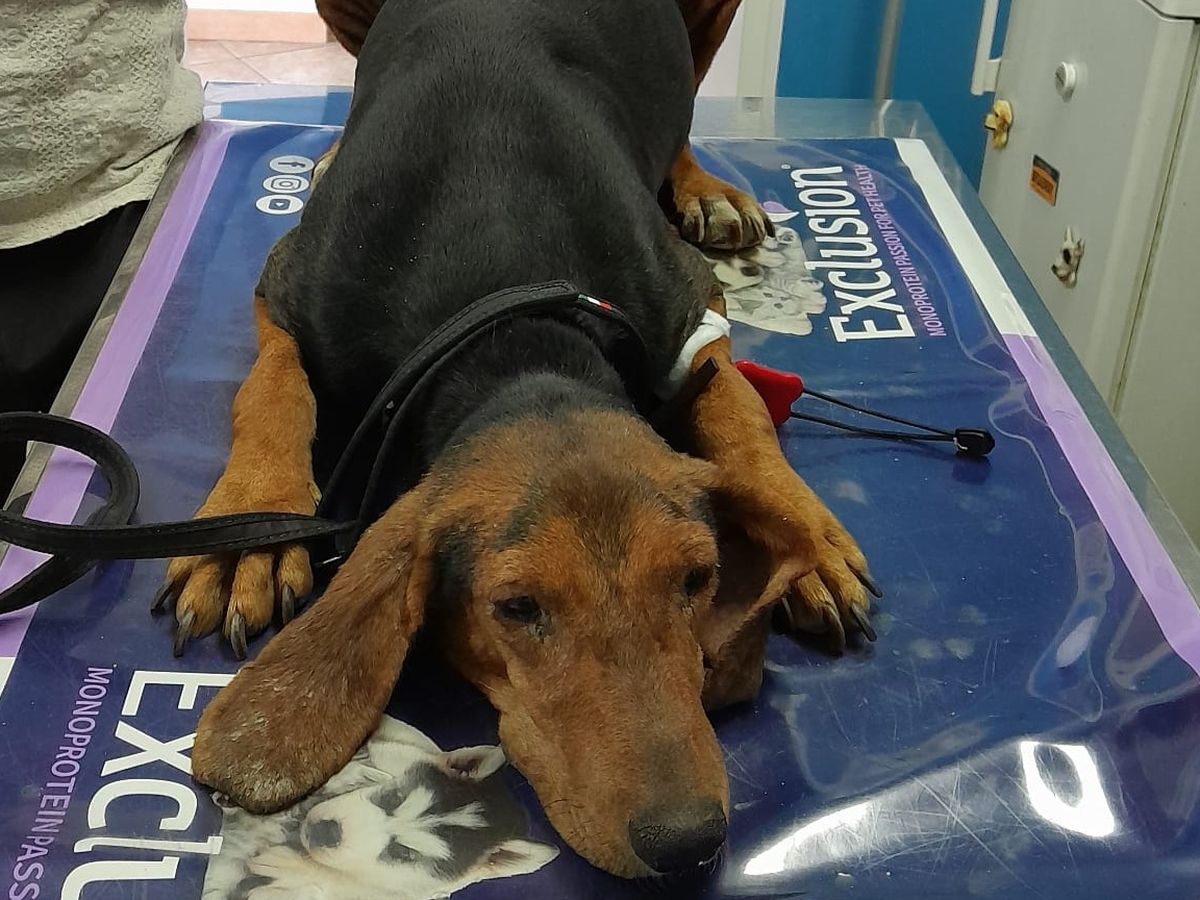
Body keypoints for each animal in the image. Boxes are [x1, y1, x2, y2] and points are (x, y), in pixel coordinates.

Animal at [161, 0, 877, 879]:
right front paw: (251, 527)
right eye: (516, 607)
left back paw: (704, 187)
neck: (513, 328)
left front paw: (808, 543)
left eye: (698, 579)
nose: (687, 843)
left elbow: (740, 417)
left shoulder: (691, 312)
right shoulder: (286, 287)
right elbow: (272, 390)